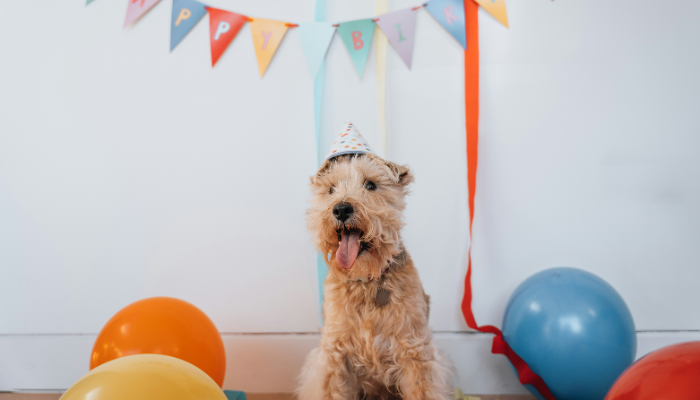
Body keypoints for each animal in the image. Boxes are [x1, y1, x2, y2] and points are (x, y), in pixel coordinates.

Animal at [296, 151, 454, 400]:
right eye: (331, 189)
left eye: (370, 185)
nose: (341, 209)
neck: (366, 281)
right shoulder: (333, 356)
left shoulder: (416, 352)